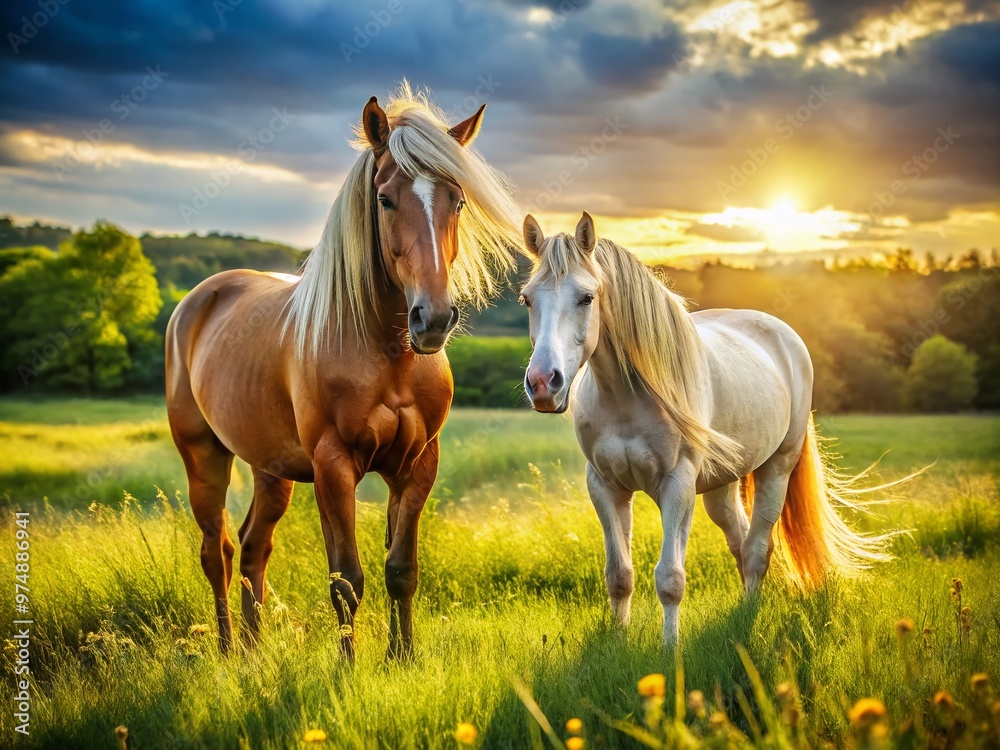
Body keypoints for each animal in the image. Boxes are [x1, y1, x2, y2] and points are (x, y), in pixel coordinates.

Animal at [165, 84, 522, 659]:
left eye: (459, 201)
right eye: (385, 199)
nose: (433, 319)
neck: (387, 354)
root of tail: (199, 300)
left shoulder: (417, 466)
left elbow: (401, 569)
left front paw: (402, 657)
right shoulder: (333, 468)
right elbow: (346, 580)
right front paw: (349, 666)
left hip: (271, 470)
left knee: (252, 548)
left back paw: (254, 650)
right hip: (203, 457)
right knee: (215, 550)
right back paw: (226, 648)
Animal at [518, 212, 894, 645]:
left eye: (586, 298)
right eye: (527, 299)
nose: (543, 383)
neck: (627, 396)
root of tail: (783, 334)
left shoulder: (677, 486)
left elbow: (670, 579)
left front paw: (670, 650)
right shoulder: (605, 486)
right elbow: (619, 575)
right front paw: (617, 640)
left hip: (777, 469)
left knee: (757, 548)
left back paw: (748, 616)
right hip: (720, 486)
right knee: (741, 541)